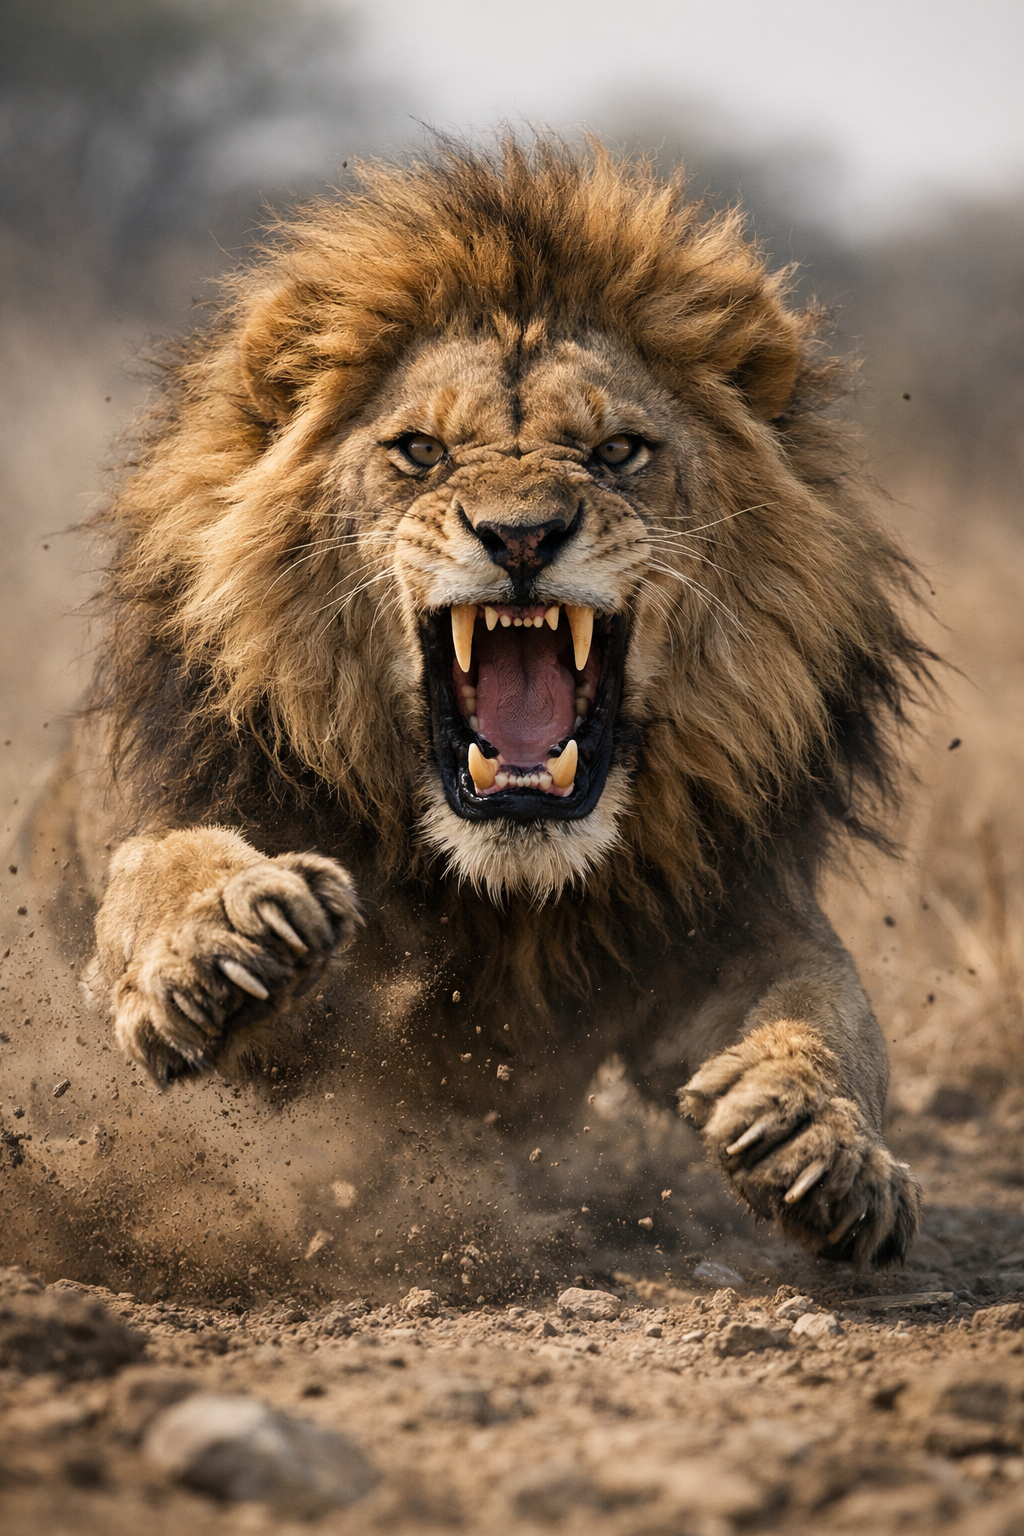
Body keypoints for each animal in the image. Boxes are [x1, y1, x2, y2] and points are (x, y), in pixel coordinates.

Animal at [0, 139, 928, 1296]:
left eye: (618, 451)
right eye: (421, 453)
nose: (521, 534)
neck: (508, 887)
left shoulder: (732, 915)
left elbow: (831, 1008)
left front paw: (822, 1142)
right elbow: (162, 868)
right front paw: (224, 942)